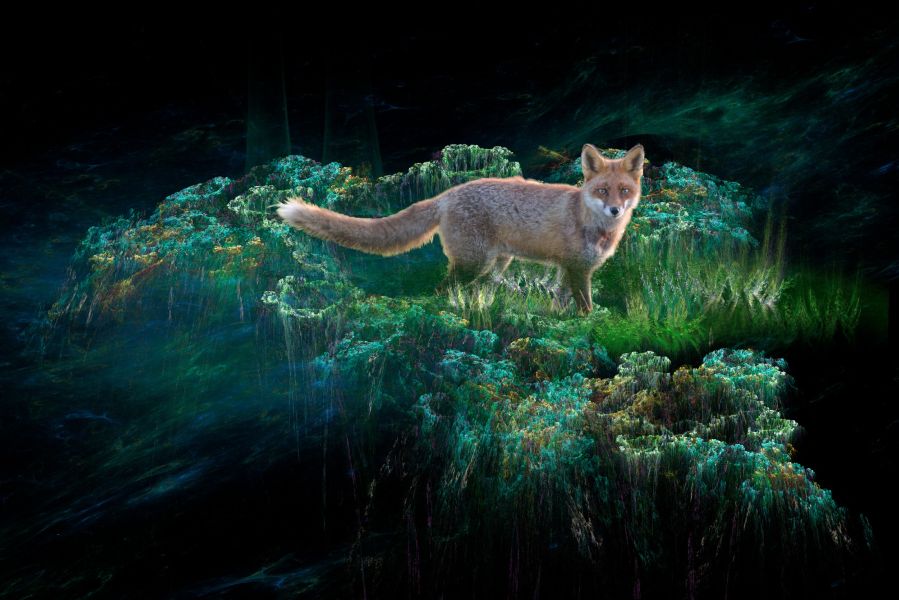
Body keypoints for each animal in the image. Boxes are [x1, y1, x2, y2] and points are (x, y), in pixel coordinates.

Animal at [276, 143, 645, 314]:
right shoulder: (578, 270)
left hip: (494, 264)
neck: (591, 223)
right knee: (441, 291)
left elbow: (561, 303)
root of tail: (446, 195)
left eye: (624, 191)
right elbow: (586, 307)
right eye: (602, 190)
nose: (615, 209)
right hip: (473, 263)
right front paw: (588, 321)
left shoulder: (568, 268)